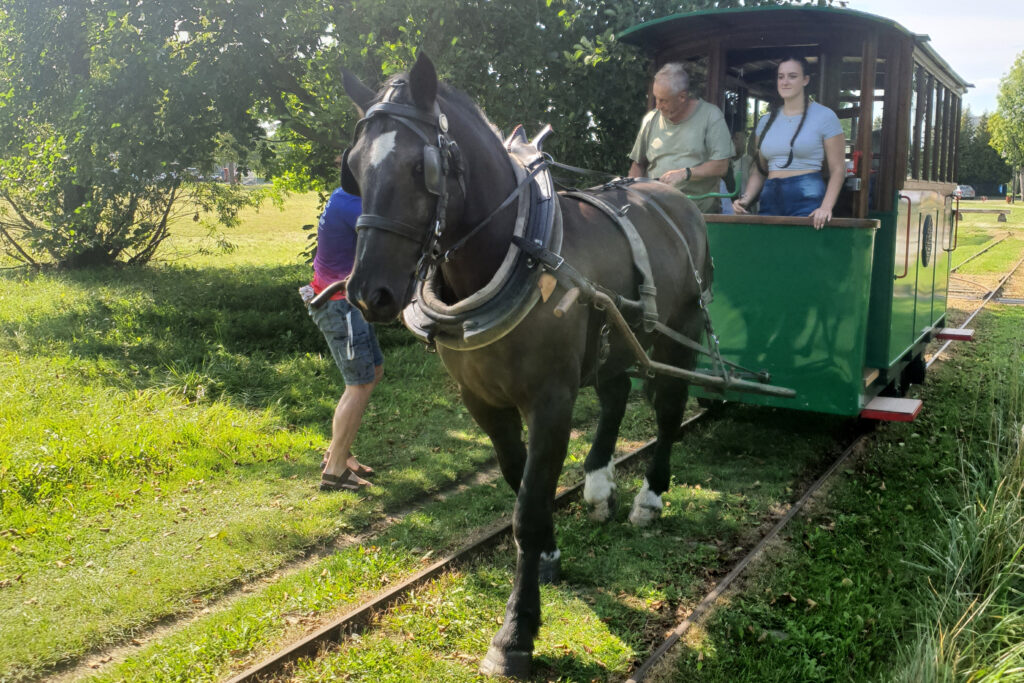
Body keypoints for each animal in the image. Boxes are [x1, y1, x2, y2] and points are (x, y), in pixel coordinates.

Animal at [339, 54, 708, 679]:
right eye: (356, 170)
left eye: (421, 168)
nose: (369, 294)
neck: (517, 254)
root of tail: (674, 197)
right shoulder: (483, 403)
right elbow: (518, 483)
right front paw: (550, 554)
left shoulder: (551, 402)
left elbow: (529, 507)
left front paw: (515, 633)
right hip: (613, 341)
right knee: (614, 399)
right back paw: (600, 485)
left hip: (674, 337)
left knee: (667, 410)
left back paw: (650, 498)